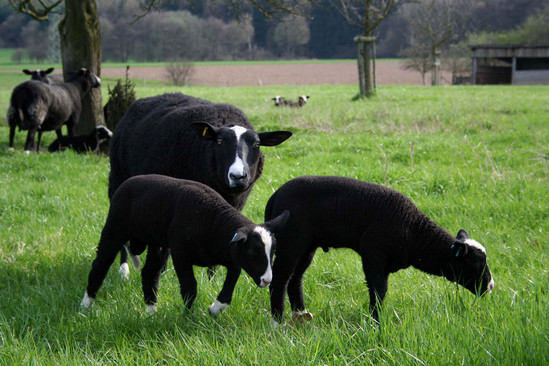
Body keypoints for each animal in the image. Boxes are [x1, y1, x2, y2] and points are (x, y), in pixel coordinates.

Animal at [80, 176, 292, 316]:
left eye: (273, 252)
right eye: (253, 251)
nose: (267, 280)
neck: (214, 224)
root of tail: (128, 182)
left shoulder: (231, 256)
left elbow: (230, 283)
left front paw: (215, 308)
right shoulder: (180, 253)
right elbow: (190, 287)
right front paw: (189, 317)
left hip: (157, 243)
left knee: (150, 273)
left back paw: (151, 312)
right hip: (114, 229)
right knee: (100, 266)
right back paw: (85, 305)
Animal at [108, 92, 294, 278]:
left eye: (256, 144)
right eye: (219, 142)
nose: (238, 176)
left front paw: (212, 277)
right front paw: (162, 272)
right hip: (119, 180)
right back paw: (123, 269)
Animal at [264, 176, 494, 324]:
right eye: (476, 263)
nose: (491, 286)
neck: (415, 232)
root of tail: (275, 195)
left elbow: (380, 290)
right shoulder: (373, 253)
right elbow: (378, 289)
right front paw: (376, 321)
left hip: (307, 247)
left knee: (295, 278)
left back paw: (301, 314)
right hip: (291, 242)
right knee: (280, 280)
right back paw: (278, 321)